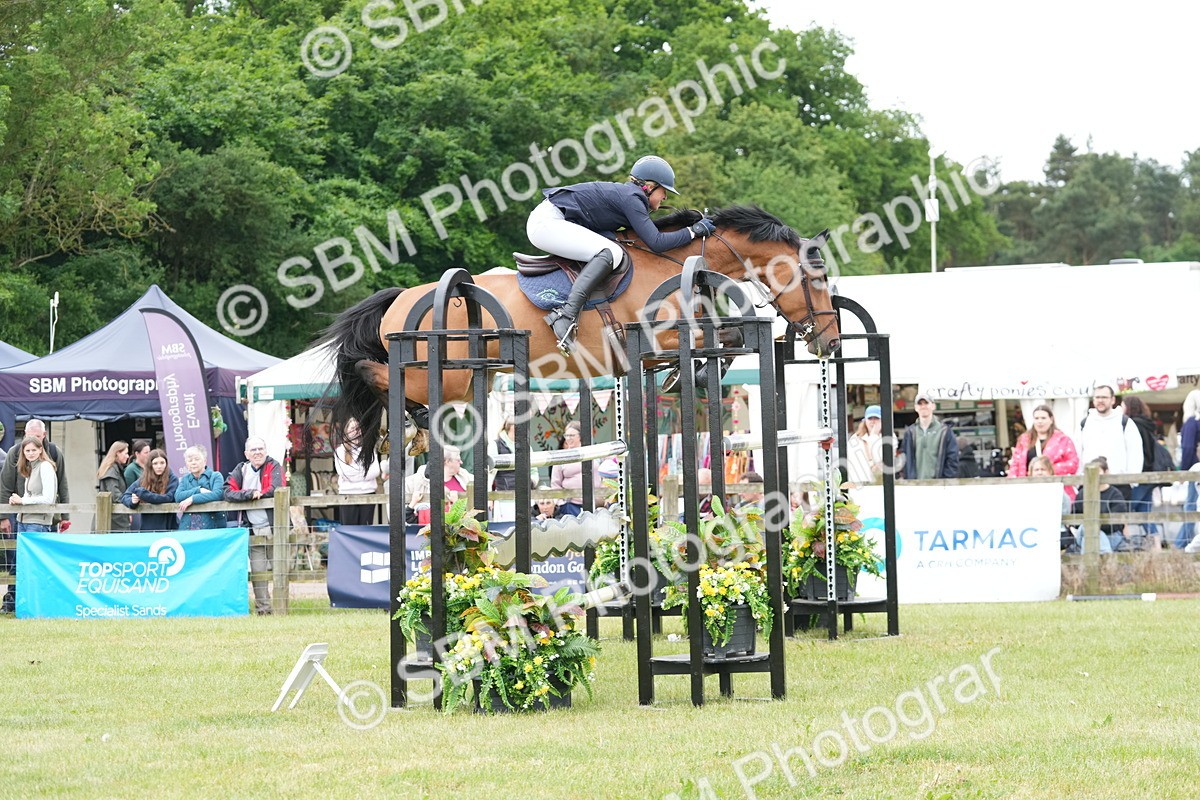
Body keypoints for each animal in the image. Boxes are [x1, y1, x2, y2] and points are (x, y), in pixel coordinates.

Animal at [321, 205, 841, 465]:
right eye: (816, 279)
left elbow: (725, 342)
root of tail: (402, 297)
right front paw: (684, 376)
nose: (830, 342)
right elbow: (726, 341)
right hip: (445, 373)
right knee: (374, 371)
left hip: (469, 380)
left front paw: (683, 376)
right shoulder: (656, 340)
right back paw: (410, 422)